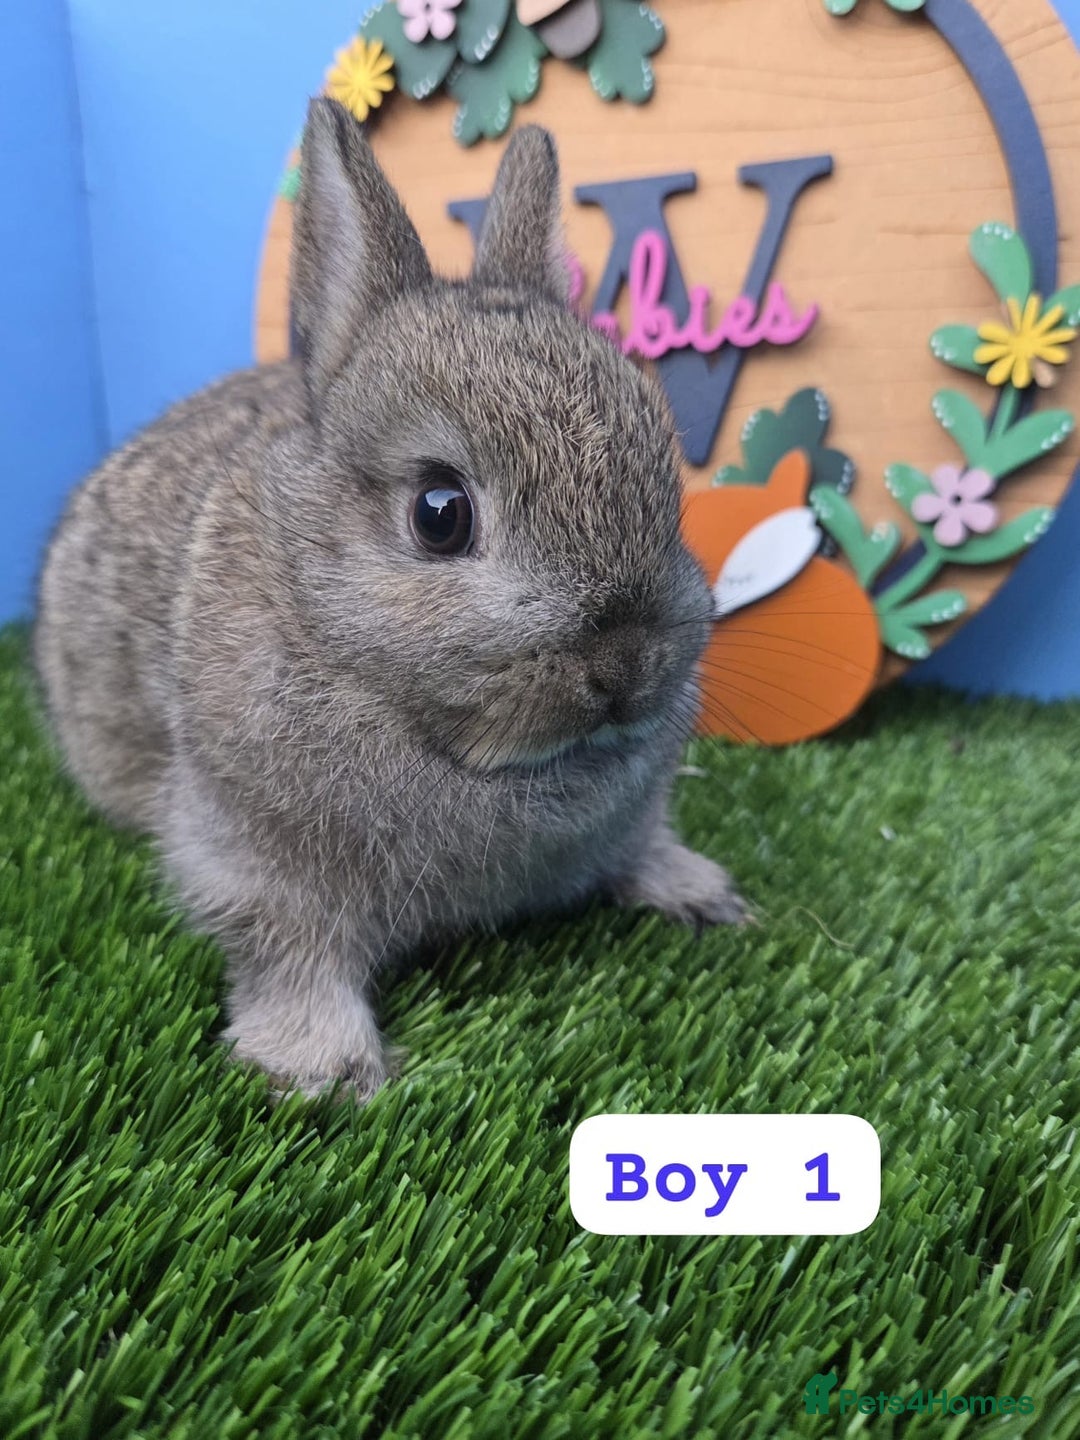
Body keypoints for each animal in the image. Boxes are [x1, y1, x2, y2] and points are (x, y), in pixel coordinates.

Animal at [35, 98, 746, 1099]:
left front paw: (699, 894)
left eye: (667, 482)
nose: (627, 666)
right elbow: (292, 957)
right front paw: (325, 1071)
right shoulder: (256, 867)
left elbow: (641, 845)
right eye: (439, 514)